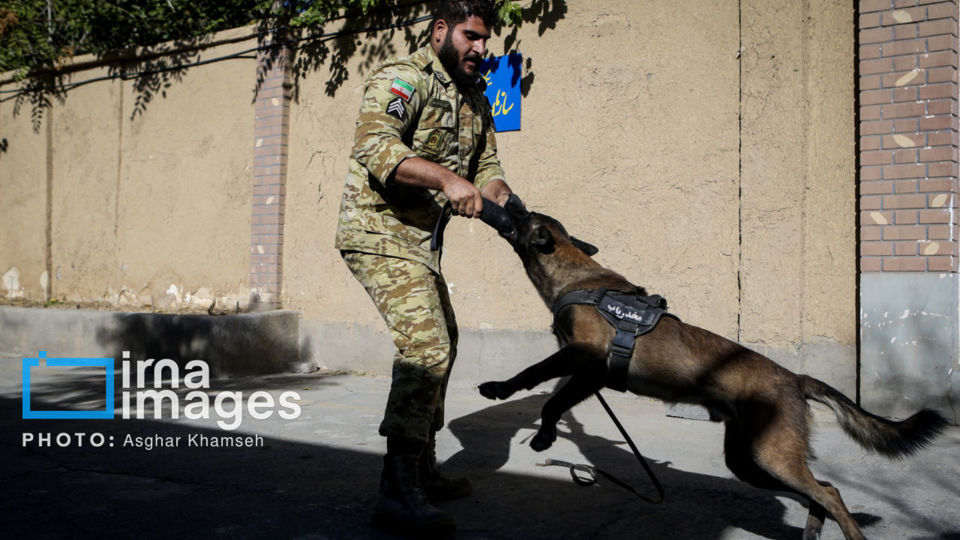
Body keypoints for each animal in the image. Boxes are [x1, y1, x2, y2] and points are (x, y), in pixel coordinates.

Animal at [478, 198, 944, 540]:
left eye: (522, 215)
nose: (506, 199)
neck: (575, 275)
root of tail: (796, 379)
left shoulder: (584, 356)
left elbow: (536, 379)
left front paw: (509, 397)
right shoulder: (590, 374)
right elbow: (554, 399)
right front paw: (542, 429)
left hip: (771, 456)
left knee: (828, 493)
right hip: (748, 461)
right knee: (824, 490)